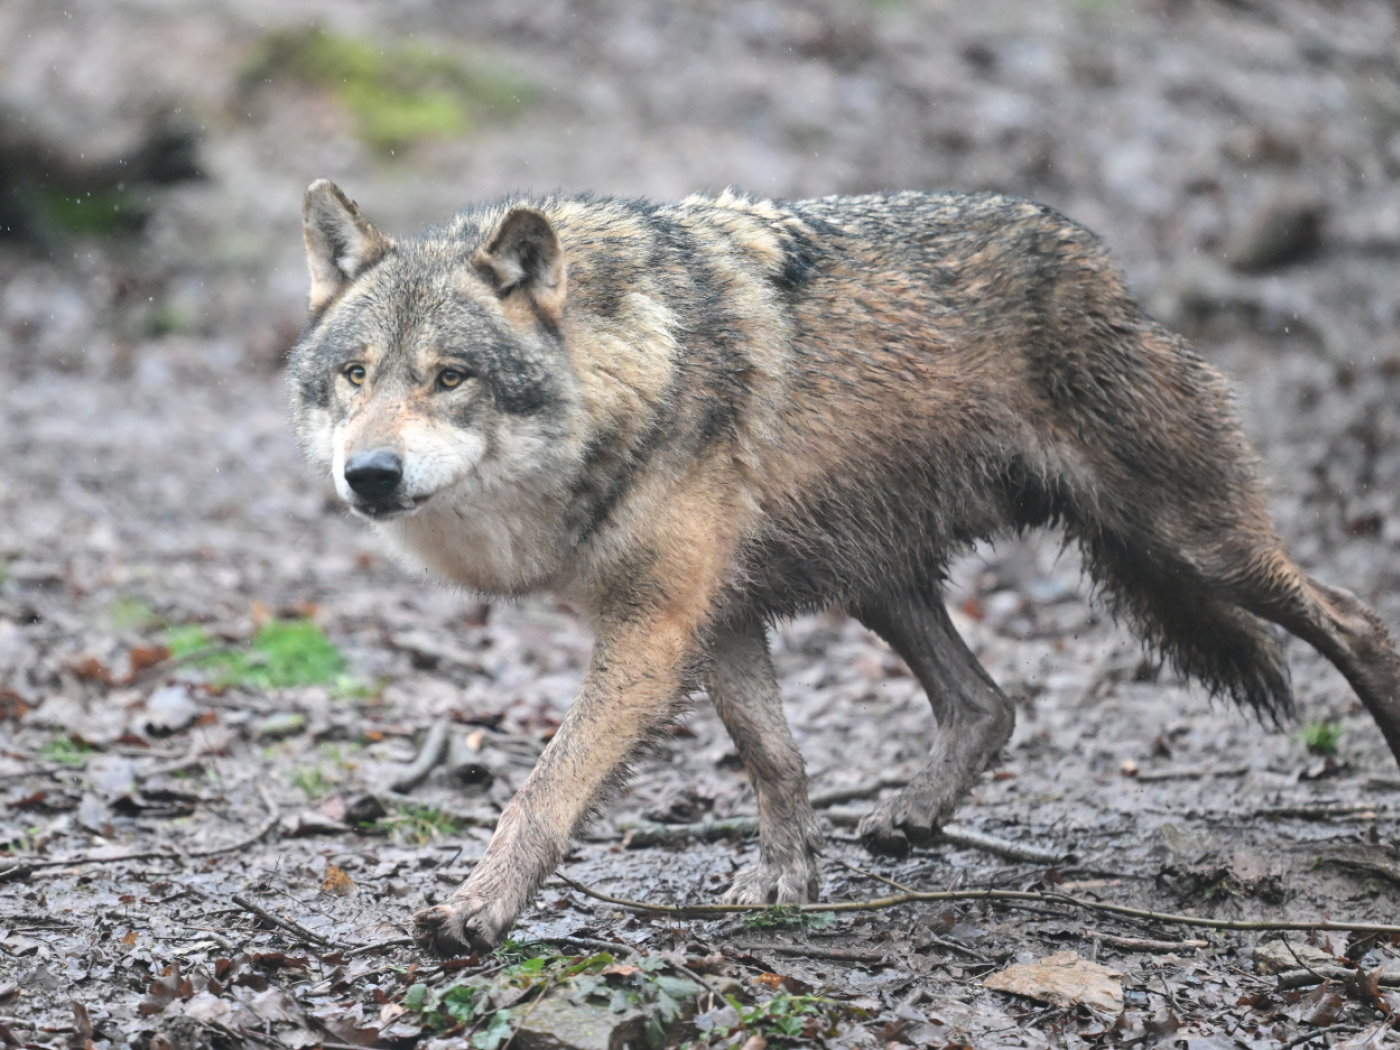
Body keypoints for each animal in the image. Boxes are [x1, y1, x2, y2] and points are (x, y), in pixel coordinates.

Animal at [288, 179, 1400, 956]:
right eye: (355, 376)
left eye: (449, 377)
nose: (369, 474)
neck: (628, 374)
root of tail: (1102, 265)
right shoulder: (716, 616)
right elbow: (773, 757)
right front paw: (784, 886)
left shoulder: (653, 629)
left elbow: (542, 791)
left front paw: (475, 911)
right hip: (880, 579)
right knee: (986, 701)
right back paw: (910, 818)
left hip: (1192, 546)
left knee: (1355, 619)